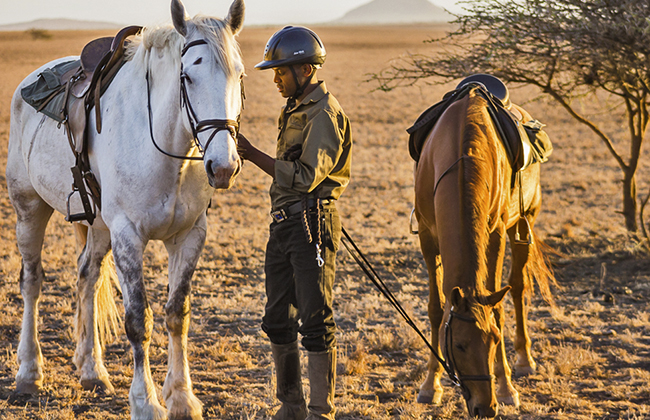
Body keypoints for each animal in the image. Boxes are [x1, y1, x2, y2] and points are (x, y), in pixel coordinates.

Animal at [6, 0, 244, 416]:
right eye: (187, 76)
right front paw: (146, 403)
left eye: (240, 75)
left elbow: (177, 314)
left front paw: (182, 397)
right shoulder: (129, 235)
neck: (167, 151)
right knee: (32, 283)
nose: (223, 166)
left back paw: (92, 370)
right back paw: (29, 373)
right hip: (29, 209)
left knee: (87, 277)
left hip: (100, 226)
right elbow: (138, 320)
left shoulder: (190, 235)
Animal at [412, 86, 548, 416]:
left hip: (523, 226)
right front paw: (430, 385)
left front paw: (507, 388)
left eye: (495, 340)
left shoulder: (496, 232)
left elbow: (497, 308)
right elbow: (436, 309)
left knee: (518, 287)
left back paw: (524, 360)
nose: (486, 408)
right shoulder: (427, 236)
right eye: (459, 345)